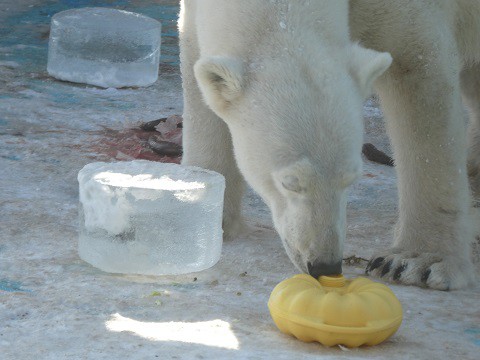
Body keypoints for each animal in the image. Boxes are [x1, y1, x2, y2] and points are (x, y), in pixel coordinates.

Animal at [178, 0, 478, 290]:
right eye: (289, 183)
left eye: (350, 179)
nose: (324, 265)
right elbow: (200, 79)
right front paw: (206, 213)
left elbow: (420, 77)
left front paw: (417, 261)